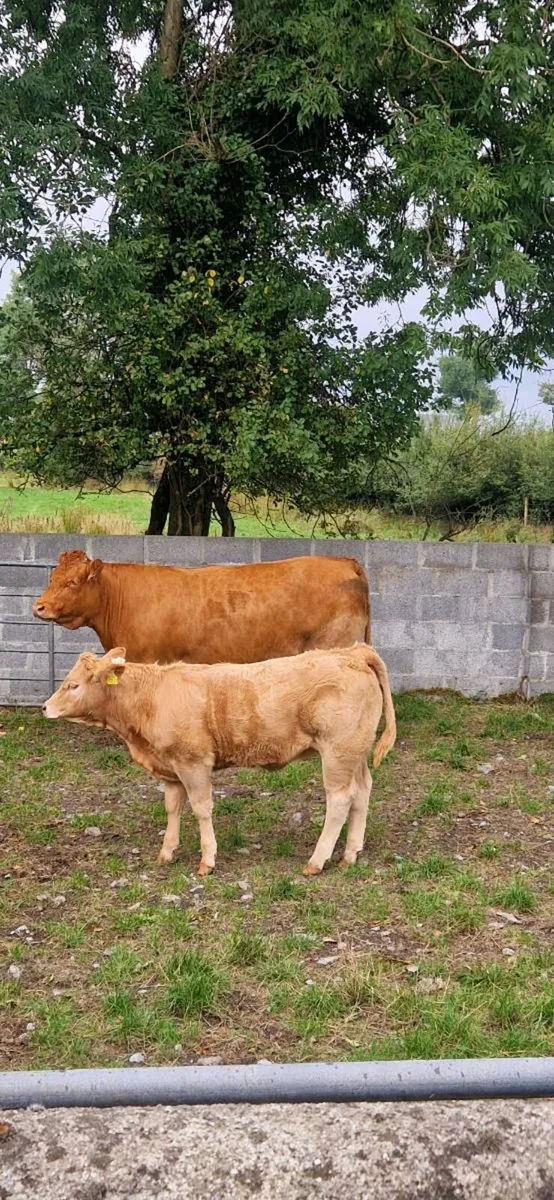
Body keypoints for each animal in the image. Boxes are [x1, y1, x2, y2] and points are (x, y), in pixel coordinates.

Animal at [43, 644, 396, 876]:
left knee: (340, 800)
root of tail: (352, 652)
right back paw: (351, 853)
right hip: (354, 752)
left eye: (73, 685)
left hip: (337, 752)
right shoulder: (171, 769)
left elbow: (201, 809)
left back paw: (317, 861)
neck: (151, 698)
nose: (45, 707)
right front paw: (166, 852)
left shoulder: (193, 762)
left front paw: (207, 860)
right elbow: (172, 808)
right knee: (362, 792)